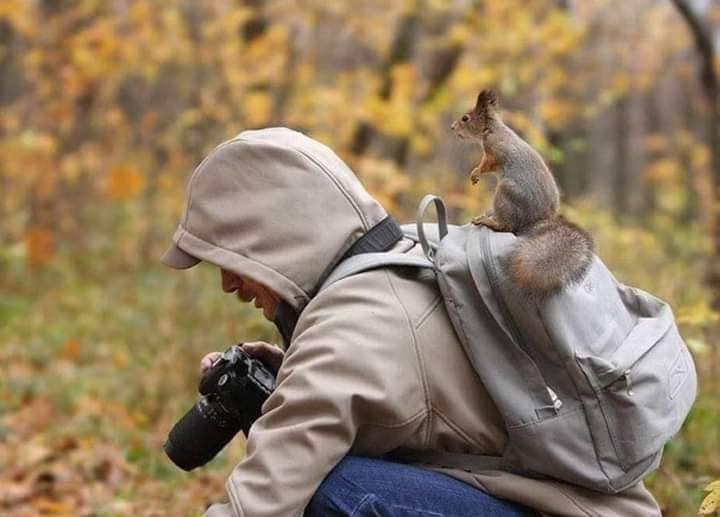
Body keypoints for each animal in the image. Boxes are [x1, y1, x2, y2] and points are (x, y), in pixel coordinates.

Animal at [450, 90, 596, 296]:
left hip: (506, 194)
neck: (492, 130)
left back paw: (488, 221)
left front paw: (476, 173)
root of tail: (538, 220)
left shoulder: (495, 154)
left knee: (507, 226)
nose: (452, 127)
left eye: (465, 118)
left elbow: (486, 164)